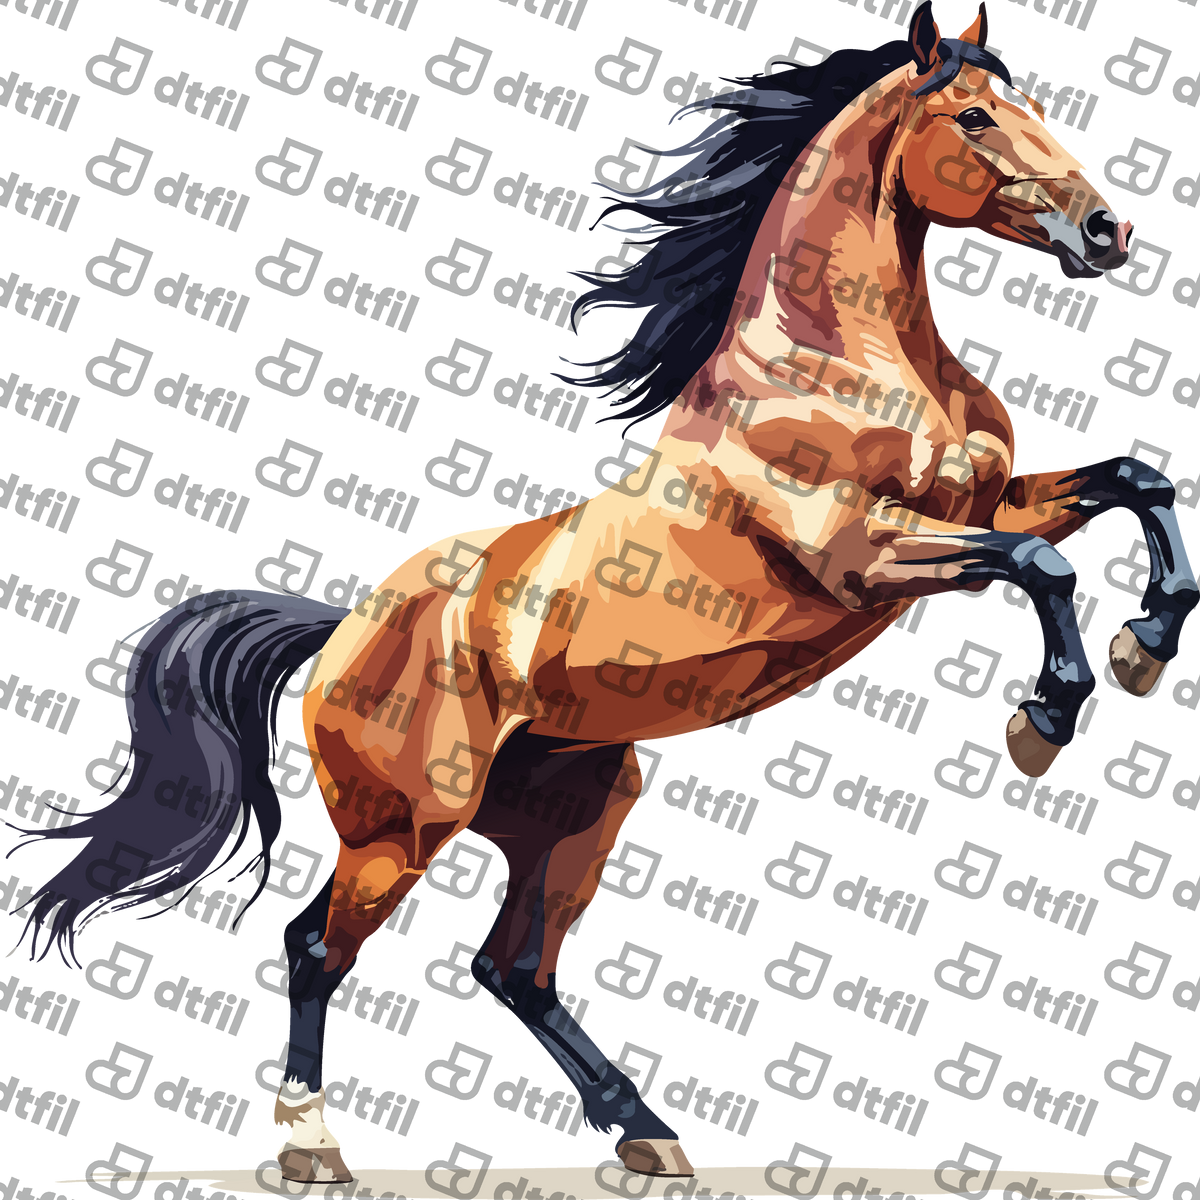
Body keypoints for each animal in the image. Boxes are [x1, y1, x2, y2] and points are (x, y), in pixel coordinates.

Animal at [3, 0, 1196, 1182]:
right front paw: (1044, 725)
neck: (844, 358)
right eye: (976, 117)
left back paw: (647, 1135)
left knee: (513, 970)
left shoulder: (995, 507)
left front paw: (1141, 651)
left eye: (1030, 102)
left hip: (577, 806)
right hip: (403, 827)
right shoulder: (862, 556)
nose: (1108, 232)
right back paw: (313, 1142)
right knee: (318, 947)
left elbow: (1138, 481)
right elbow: (1047, 567)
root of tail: (342, 631)